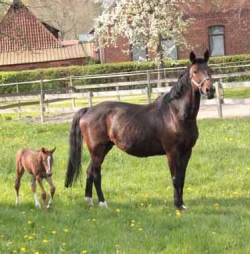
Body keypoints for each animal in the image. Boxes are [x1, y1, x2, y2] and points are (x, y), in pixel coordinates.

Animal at [65, 50, 215, 209]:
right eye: (195, 71)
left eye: (210, 70)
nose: (210, 90)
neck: (176, 114)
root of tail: (88, 110)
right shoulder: (172, 152)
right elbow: (175, 178)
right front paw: (178, 205)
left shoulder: (187, 152)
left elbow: (182, 178)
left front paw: (182, 204)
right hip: (97, 151)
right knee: (96, 173)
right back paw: (103, 202)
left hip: (105, 148)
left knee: (89, 171)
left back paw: (89, 200)